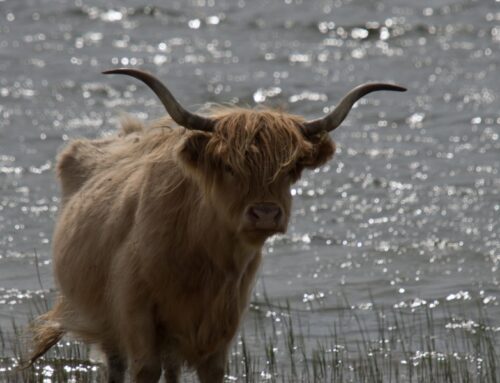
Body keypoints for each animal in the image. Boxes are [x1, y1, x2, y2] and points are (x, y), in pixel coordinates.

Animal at [27, 70, 404, 383]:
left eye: (290, 169)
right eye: (228, 166)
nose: (265, 213)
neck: (202, 260)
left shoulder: (221, 327)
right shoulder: (136, 318)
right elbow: (144, 369)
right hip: (106, 324)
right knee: (118, 367)